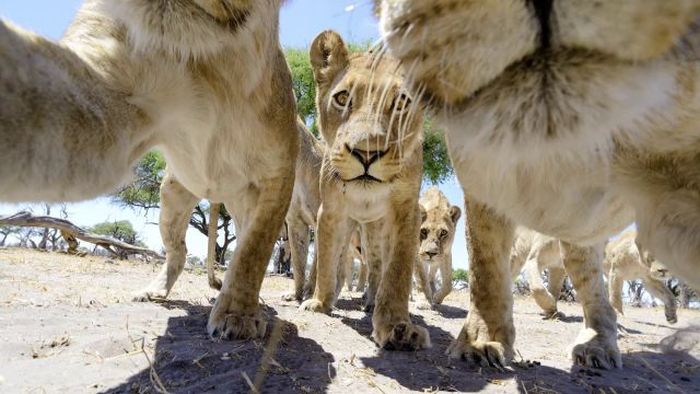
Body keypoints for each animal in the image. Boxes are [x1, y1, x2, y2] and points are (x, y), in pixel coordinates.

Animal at [0, 0, 296, 340]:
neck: (216, 60)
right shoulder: (112, 91)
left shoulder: (279, 172)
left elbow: (253, 250)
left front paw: (238, 316)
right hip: (171, 199)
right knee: (178, 251)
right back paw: (154, 291)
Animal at [298, 30, 430, 350]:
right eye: (343, 98)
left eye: (400, 102)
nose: (366, 153)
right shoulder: (331, 211)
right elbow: (325, 259)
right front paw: (319, 302)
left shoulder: (406, 212)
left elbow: (397, 271)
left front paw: (396, 325)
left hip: (376, 231)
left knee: (378, 265)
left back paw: (372, 301)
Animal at [374, 0, 700, 370]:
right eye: (424, 232)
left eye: (443, 233)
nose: (430, 249)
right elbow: (485, 269)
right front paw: (482, 340)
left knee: (595, 291)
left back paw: (599, 344)